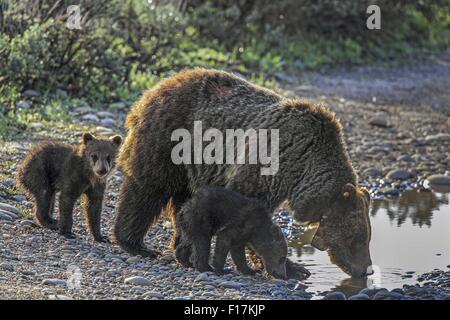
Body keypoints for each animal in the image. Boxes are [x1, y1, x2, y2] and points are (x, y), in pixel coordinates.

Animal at [115, 68, 372, 278]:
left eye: (366, 237)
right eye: (357, 239)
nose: (365, 270)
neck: (302, 166)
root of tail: (158, 86)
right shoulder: (265, 165)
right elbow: (250, 219)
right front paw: (293, 267)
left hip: (190, 167)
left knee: (183, 204)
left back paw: (183, 253)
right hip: (169, 138)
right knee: (147, 189)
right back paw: (135, 244)